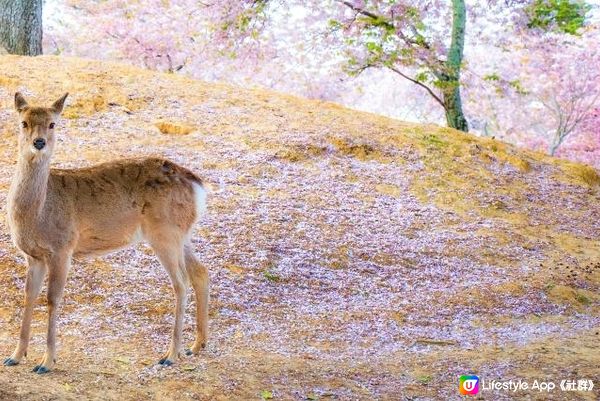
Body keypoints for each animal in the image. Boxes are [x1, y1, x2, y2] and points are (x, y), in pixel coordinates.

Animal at [3, 92, 210, 374]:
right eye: (23, 123)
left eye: (53, 124)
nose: (39, 142)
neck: (38, 212)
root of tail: (198, 187)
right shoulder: (32, 255)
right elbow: (29, 296)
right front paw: (15, 356)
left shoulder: (63, 248)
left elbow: (53, 298)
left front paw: (46, 362)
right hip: (182, 234)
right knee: (200, 272)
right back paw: (196, 345)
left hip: (164, 233)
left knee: (181, 282)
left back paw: (170, 354)